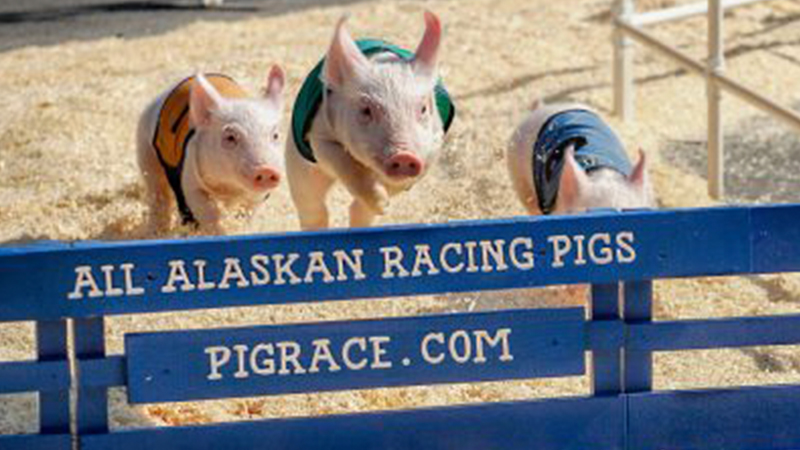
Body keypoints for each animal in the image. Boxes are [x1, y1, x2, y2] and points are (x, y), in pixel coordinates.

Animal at [138, 68, 288, 236]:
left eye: (275, 135)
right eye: (230, 137)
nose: (266, 170)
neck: (229, 187)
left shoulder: (258, 196)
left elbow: (247, 212)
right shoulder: (189, 179)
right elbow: (208, 211)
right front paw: (221, 233)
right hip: (145, 152)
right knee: (158, 193)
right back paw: (156, 232)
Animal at [288, 12, 454, 230]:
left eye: (423, 109)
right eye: (366, 110)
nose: (404, 156)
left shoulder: (434, 143)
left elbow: (406, 180)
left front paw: (384, 206)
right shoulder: (318, 132)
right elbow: (344, 163)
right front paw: (383, 205)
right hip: (299, 168)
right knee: (312, 208)